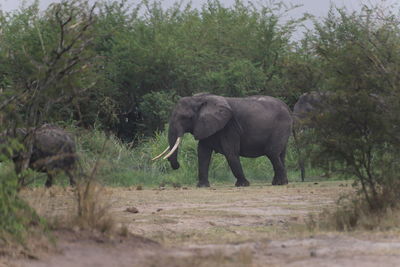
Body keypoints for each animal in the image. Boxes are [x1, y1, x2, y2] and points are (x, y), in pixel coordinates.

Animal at [152, 94, 292, 188]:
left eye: (186, 117)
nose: (177, 166)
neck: (200, 99)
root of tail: (287, 107)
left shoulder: (229, 127)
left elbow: (230, 153)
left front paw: (243, 185)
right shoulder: (206, 125)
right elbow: (202, 153)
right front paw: (202, 186)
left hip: (281, 126)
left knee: (272, 152)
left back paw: (281, 183)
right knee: (279, 155)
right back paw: (278, 183)